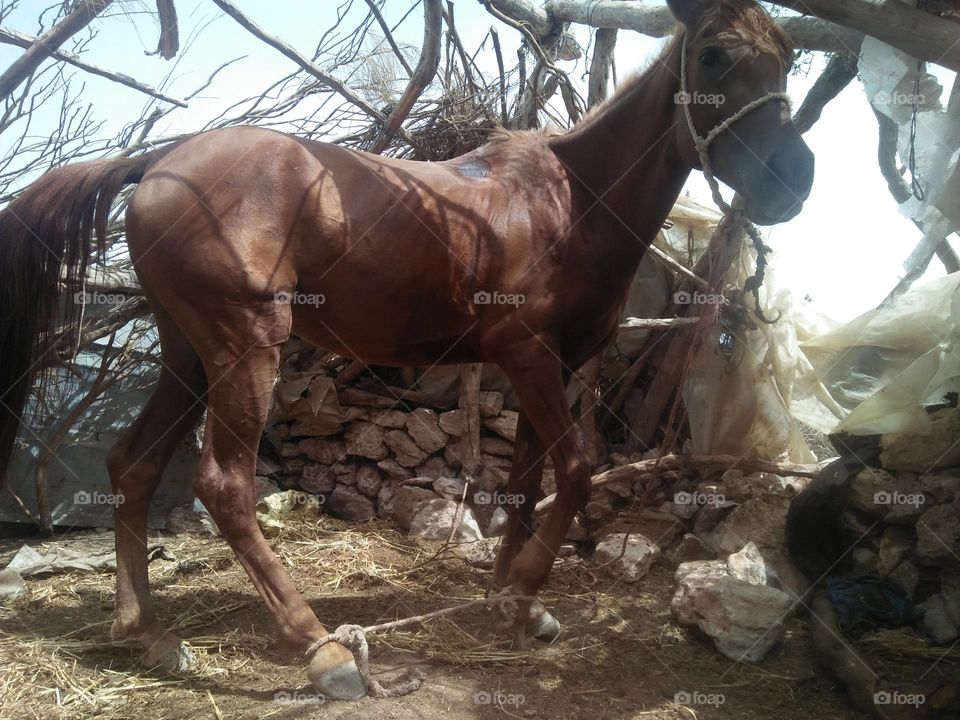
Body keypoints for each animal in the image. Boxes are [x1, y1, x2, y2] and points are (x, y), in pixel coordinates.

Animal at [0, 0, 808, 700]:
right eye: (714, 54)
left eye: (789, 57)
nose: (794, 179)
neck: (569, 202)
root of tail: (161, 162)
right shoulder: (526, 352)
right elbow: (576, 471)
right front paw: (526, 591)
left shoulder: (549, 363)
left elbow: (527, 478)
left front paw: (511, 602)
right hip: (244, 347)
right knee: (223, 484)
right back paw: (320, 649)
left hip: (187, 352)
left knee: (131, 467)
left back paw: (148, 633)